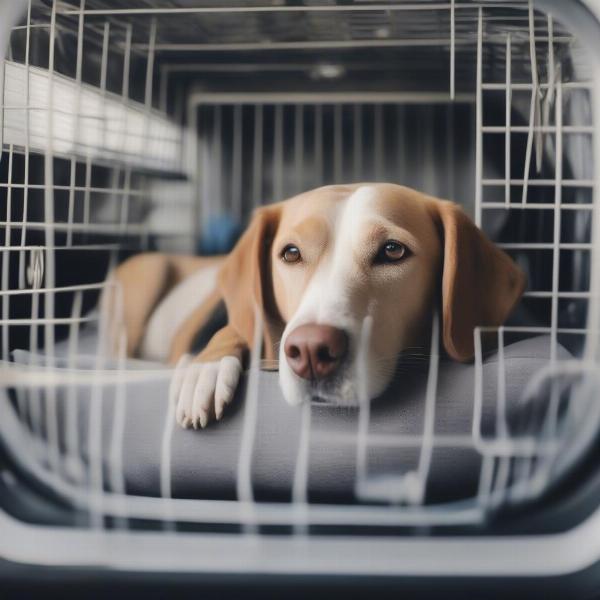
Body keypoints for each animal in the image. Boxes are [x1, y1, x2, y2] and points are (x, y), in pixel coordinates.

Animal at [106, 182, 524, 426]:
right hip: (148, 273)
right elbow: (237, 327)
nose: (311, 351)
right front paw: (204, 369)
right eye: (290, 253)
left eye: (393, 250)